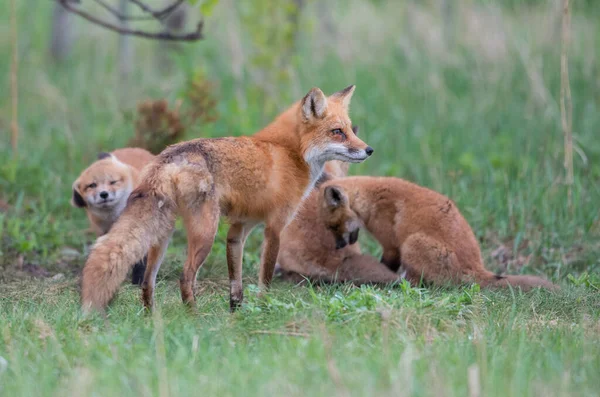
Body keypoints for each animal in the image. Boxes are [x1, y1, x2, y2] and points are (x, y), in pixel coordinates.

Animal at [72, 148, 156, 284]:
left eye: (112, 182)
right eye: (92, 185)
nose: (104, 194)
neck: (114, 217)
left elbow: (141, 260)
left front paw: (138, 280)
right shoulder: (103, 232)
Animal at [290, 176, 556, 290]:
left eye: (334, 226)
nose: (338, 247)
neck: (371, 198)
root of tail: (478, 267)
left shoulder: (392, 245)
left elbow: (386, 265)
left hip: (412, 244)